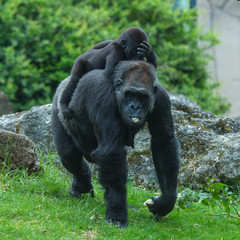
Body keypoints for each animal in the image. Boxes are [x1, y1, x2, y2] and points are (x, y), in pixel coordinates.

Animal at [52, 59, 180, 227]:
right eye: (130, 94)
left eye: (143, 97)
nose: (134, 107)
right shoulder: (103, 97)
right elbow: (111, 152)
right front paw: (117, 212)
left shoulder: (161, 98)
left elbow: (163, 143)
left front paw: (166, 200)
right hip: (59, 106)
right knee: (69, 154)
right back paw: (82, 183)